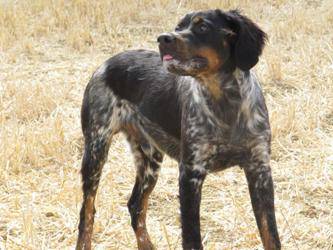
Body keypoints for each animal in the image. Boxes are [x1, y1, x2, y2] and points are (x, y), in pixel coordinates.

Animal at [75, 8, 280, 249]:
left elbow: (271, 235)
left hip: (149, 160)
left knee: (135, 206)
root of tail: (106, 63)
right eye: (178, 27)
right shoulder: (190, 173)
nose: (163, 39)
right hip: (96, 149)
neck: (226, 105)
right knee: (87, 211)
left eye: (203, 27)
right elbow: (192, 238)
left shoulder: (260, 169)